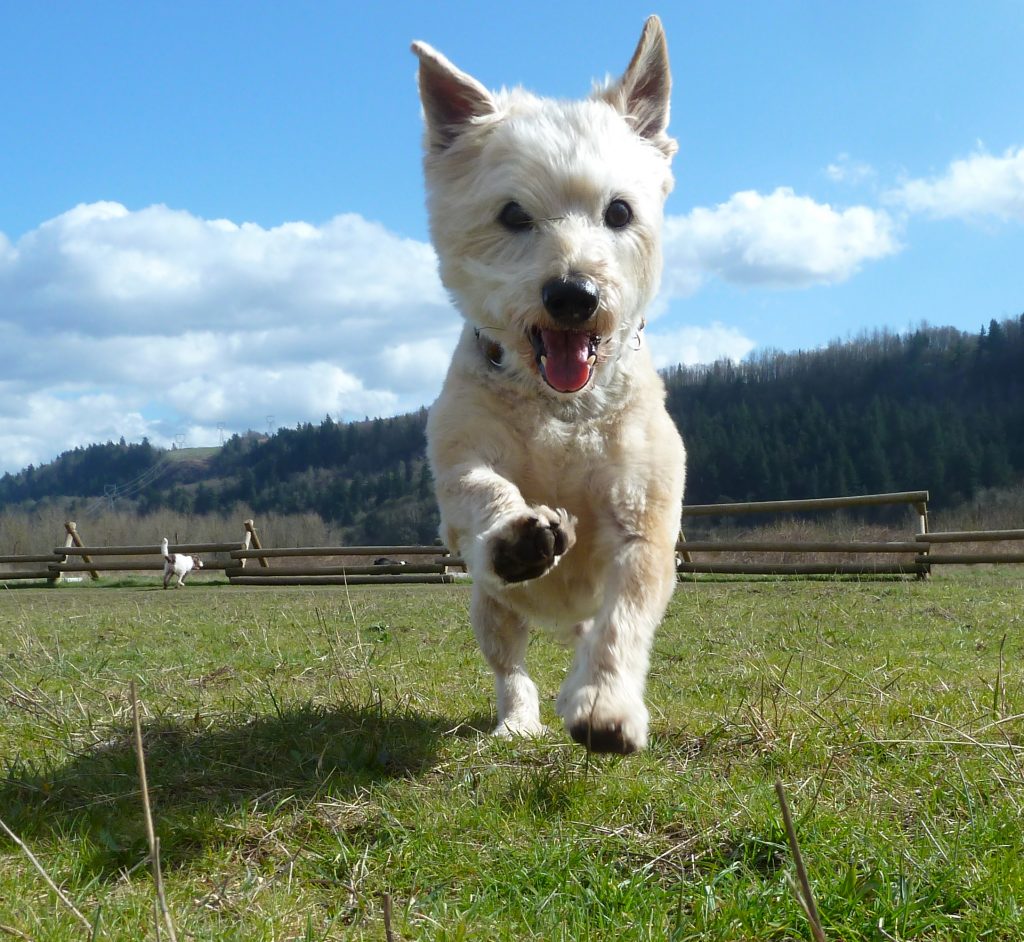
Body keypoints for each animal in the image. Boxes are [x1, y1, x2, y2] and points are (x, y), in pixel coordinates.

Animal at [409, 14, 688, 753]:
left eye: (618, 212)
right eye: (513, 215)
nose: (573, 294)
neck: (560, 407)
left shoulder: (642, 520)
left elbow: (624, 620)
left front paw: (606, 707)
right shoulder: (460, 463)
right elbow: (482, 490)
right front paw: (517, 535)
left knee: (589, 634)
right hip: (491, 610)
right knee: (511, 667)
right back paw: (517, 720)